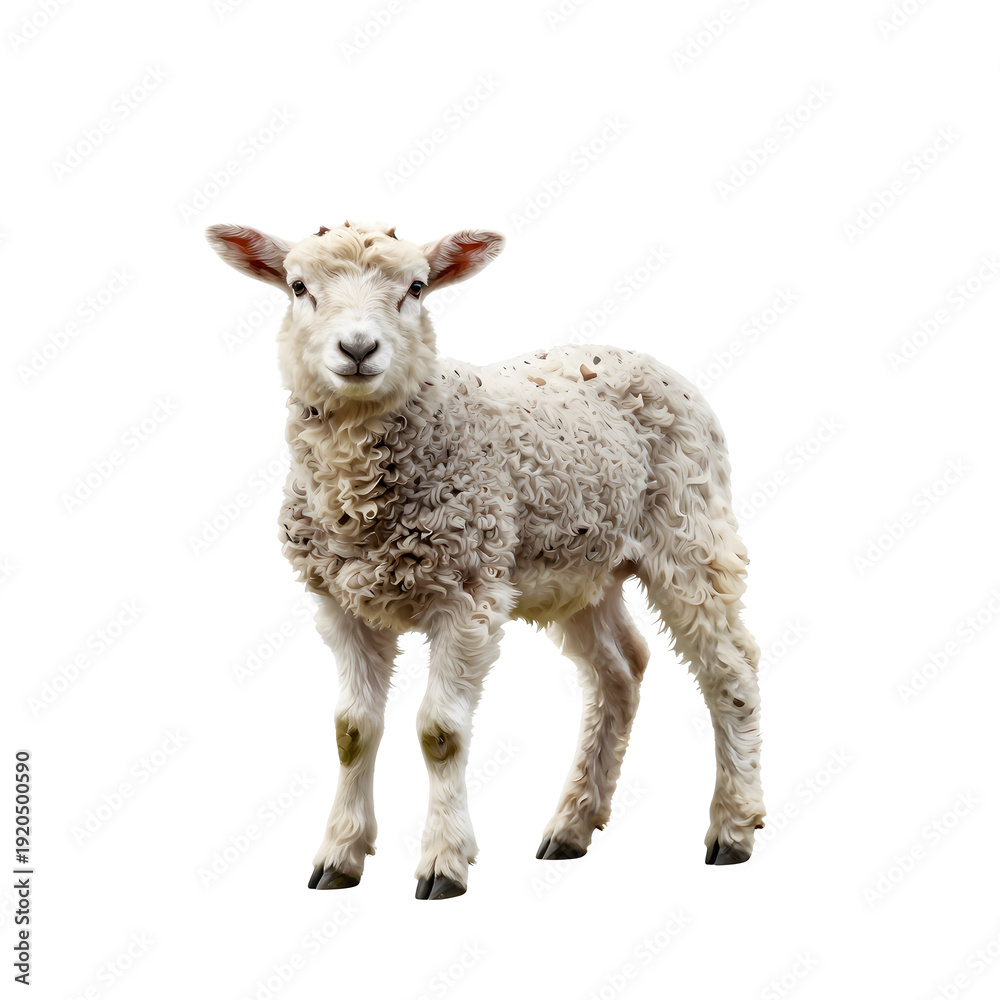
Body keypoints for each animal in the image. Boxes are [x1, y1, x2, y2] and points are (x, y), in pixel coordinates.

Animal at [205, 219, 765, 900]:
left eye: (416, 287)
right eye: (298, 286)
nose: (359, 349)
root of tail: (642, 357)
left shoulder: (468, 593)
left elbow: (440, 733)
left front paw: (443, 862)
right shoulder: (339, 603)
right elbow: (351, 731)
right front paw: (339, 855)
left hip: (690, 530)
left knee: (731, 668)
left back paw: (733, 828)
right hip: (581, 567)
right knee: (621, 670)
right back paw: (572, 826)